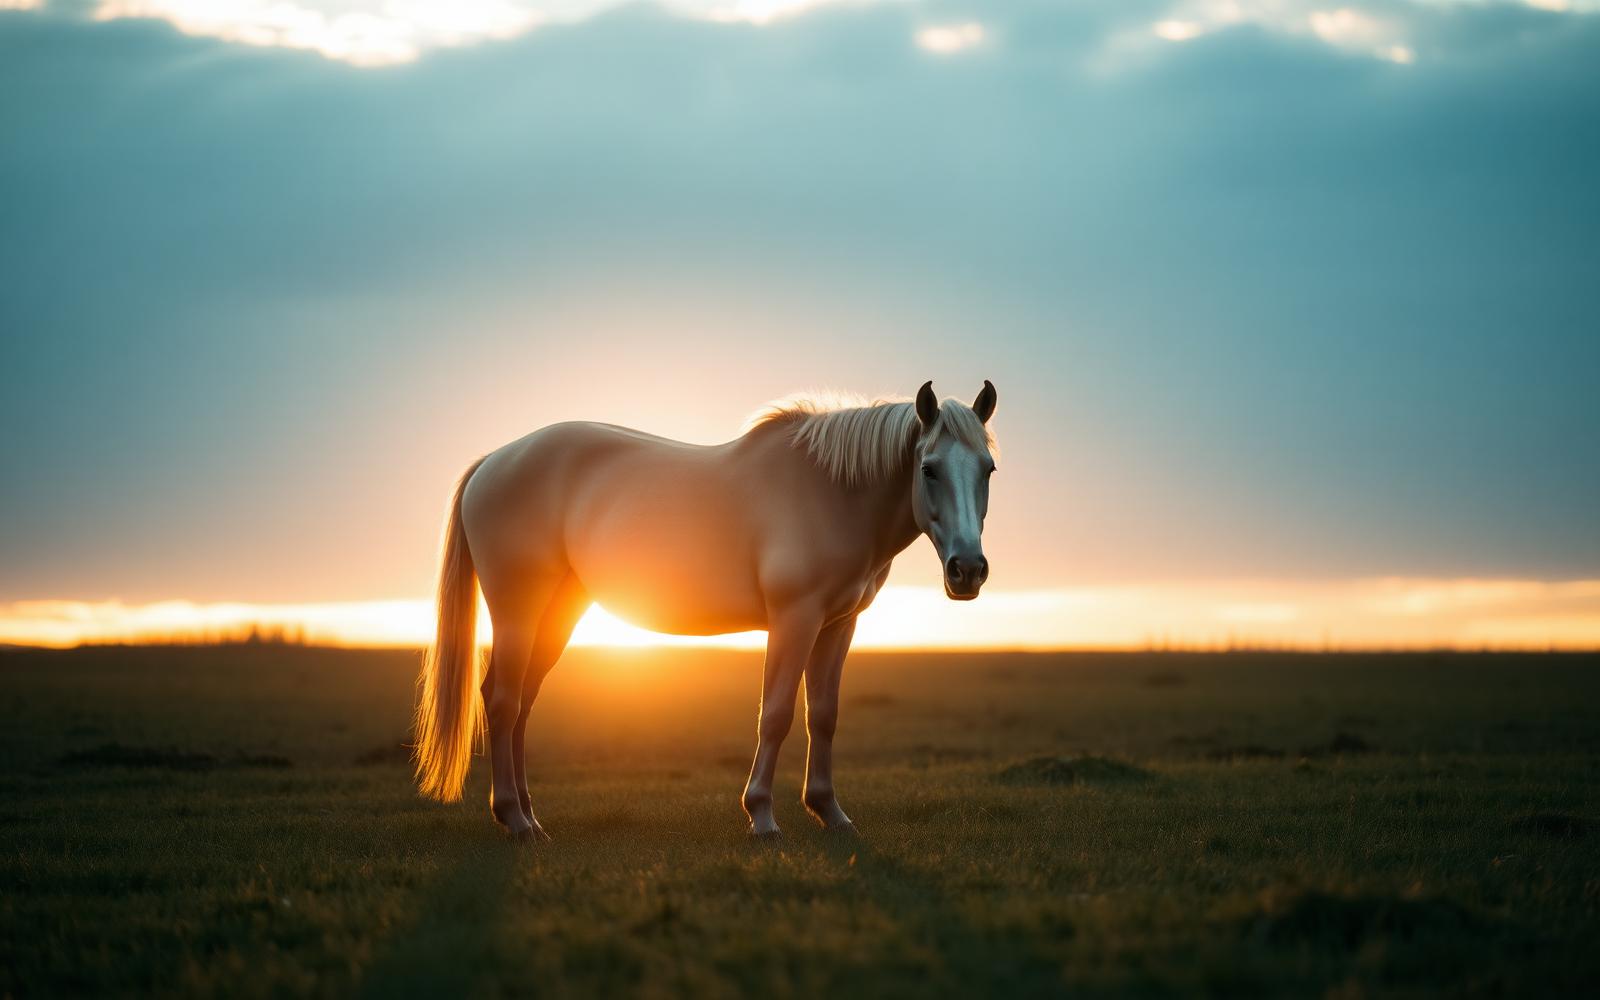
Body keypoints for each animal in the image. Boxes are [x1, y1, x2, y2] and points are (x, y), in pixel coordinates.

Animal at [413, 380, 999, 840]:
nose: (967, 570)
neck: (832, 491)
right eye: (929, 469)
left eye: (989, 469)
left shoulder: (838, 623)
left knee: (522, 703)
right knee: (503, 700)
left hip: (558, 616)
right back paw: (513, 818)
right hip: (518, 611)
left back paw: (531, 818)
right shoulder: (795, 619)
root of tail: (492, 462)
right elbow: (776, 713)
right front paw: (761, 816)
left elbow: (824, 715)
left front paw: (829, 812)